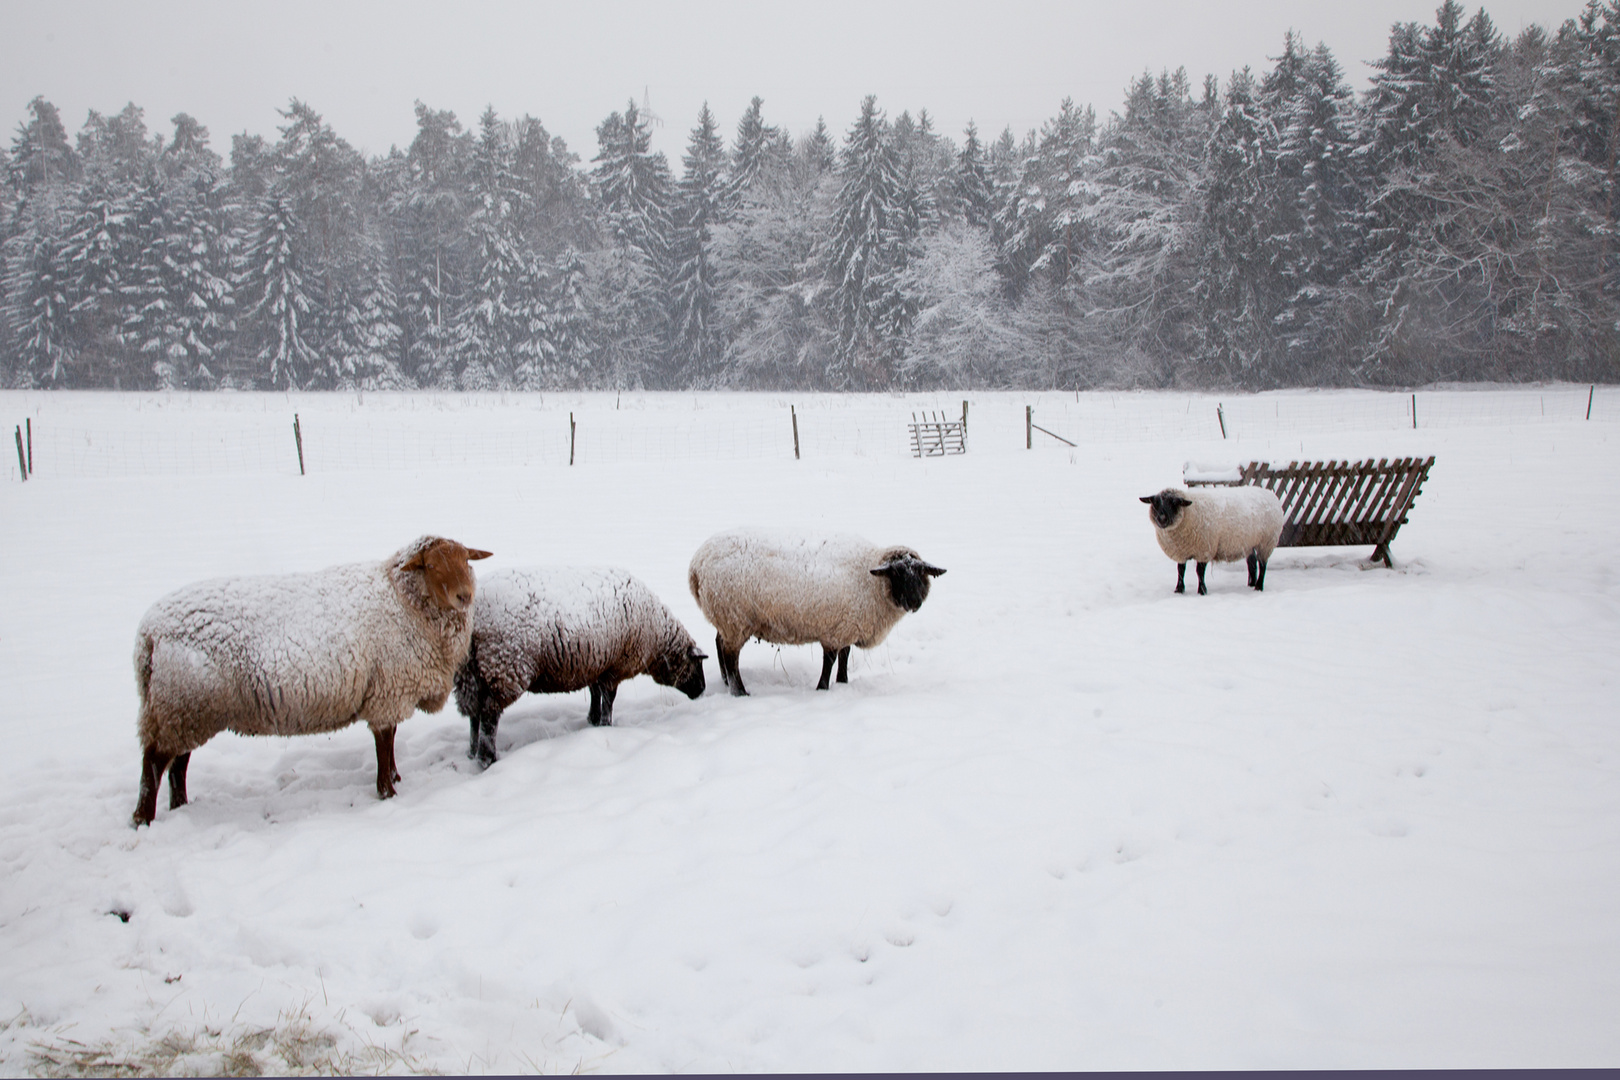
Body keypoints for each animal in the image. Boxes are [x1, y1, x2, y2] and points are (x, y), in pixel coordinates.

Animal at [456, 566, 709, 767]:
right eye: (697, 665)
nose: (702, 691)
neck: (656, 637)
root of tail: (475, 613)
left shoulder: (596, 662)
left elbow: (595, 693)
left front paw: (593, 720)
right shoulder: (614, 667)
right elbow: (608, 699)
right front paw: (606, 725)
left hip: (471, 672)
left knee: (474, 713)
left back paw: (472, 753)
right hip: (505, 666)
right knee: (489, 715)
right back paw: (488, 758)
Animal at [686, 531, 946, 702]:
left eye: (920, 574)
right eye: (897, 573)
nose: (914, 602)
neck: (872, 582)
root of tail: (696, 565)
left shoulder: (846, 626)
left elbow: (844, 656)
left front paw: (843, 682)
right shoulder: (833, 631)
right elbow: (829, 661)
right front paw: (822, 688)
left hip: (727, 619)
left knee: (719, 644)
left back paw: (726, 682)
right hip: (735, 618)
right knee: (731, 656)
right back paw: (740, 692)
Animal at [1146, 485, 1283, 595]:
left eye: (1174, 503)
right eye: (1156, 503)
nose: (1161, 519)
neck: (1189, 513)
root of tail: (1270, 493)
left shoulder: (1205, 549)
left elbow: (1199, 572)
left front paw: (1202, 591)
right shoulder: (1181, 552)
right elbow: (1180, 570)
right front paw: (1179, 590)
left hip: (1266, 542)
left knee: (1263, 564)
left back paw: (1259, 586)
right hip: (1249, 543)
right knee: (1252, 563)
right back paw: (1251, 584)